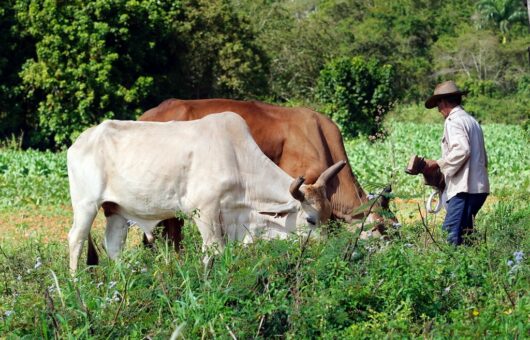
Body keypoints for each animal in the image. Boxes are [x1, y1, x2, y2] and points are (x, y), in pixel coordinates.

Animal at [67, 113, 346, 272]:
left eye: (329, 216)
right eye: (310, 219)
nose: (326, 249)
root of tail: (80, 141)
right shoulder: (204, 211)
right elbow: (214, 251)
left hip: (115, 210)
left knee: (114, 246)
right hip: (86, 204)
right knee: (76, 240)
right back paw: (74, 285)